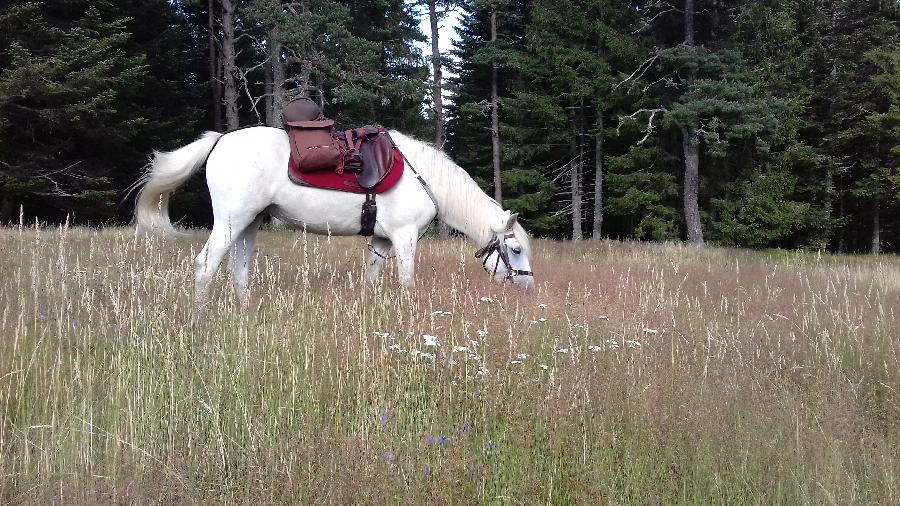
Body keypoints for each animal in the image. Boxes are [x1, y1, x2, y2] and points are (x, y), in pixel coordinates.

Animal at [134, 126, 536, 302]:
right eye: (515, 249)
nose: (528, 286)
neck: (426, 179)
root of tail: (220, 139)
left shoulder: (381, 240)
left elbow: (371, 279)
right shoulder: (404, 238)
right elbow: (407, 282)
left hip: (249, 224)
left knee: (239, 270)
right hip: (231, 222)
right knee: (206, 265)